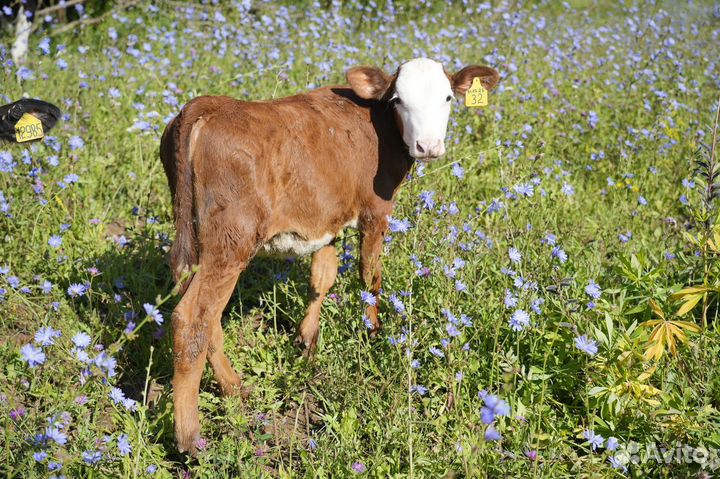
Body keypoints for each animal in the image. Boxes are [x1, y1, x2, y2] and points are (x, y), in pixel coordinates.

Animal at [158, 57, 498, 454]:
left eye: (447, 97)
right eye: (398, 99)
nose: (427, 146)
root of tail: (207, 105)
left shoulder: (326, 217)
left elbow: (323, 276)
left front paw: (307, 340)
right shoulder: (376, 211)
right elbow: (370, 275)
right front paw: (372, 332)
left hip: (195, 237)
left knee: (205, 314)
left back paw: (235, 387)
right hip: (231, 240)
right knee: (193, 317)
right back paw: (189, 436)